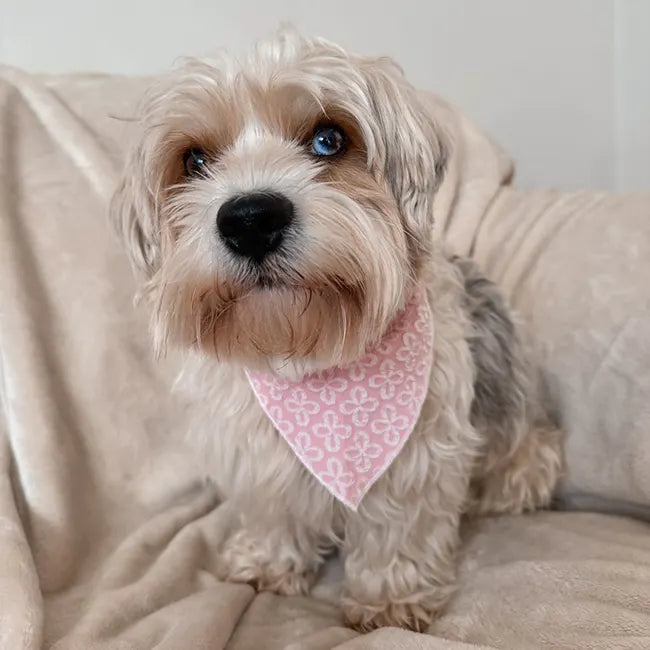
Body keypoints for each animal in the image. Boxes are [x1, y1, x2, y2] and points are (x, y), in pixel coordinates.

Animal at [109, 27, 560, 632]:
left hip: (524, 452)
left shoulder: (418, 449)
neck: (307, 350)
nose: (250, 220)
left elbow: (399, 522)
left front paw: (391, 598)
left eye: (329, 139)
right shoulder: (257, 448)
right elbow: (273, 507)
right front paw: (269, 560)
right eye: (195, 159)